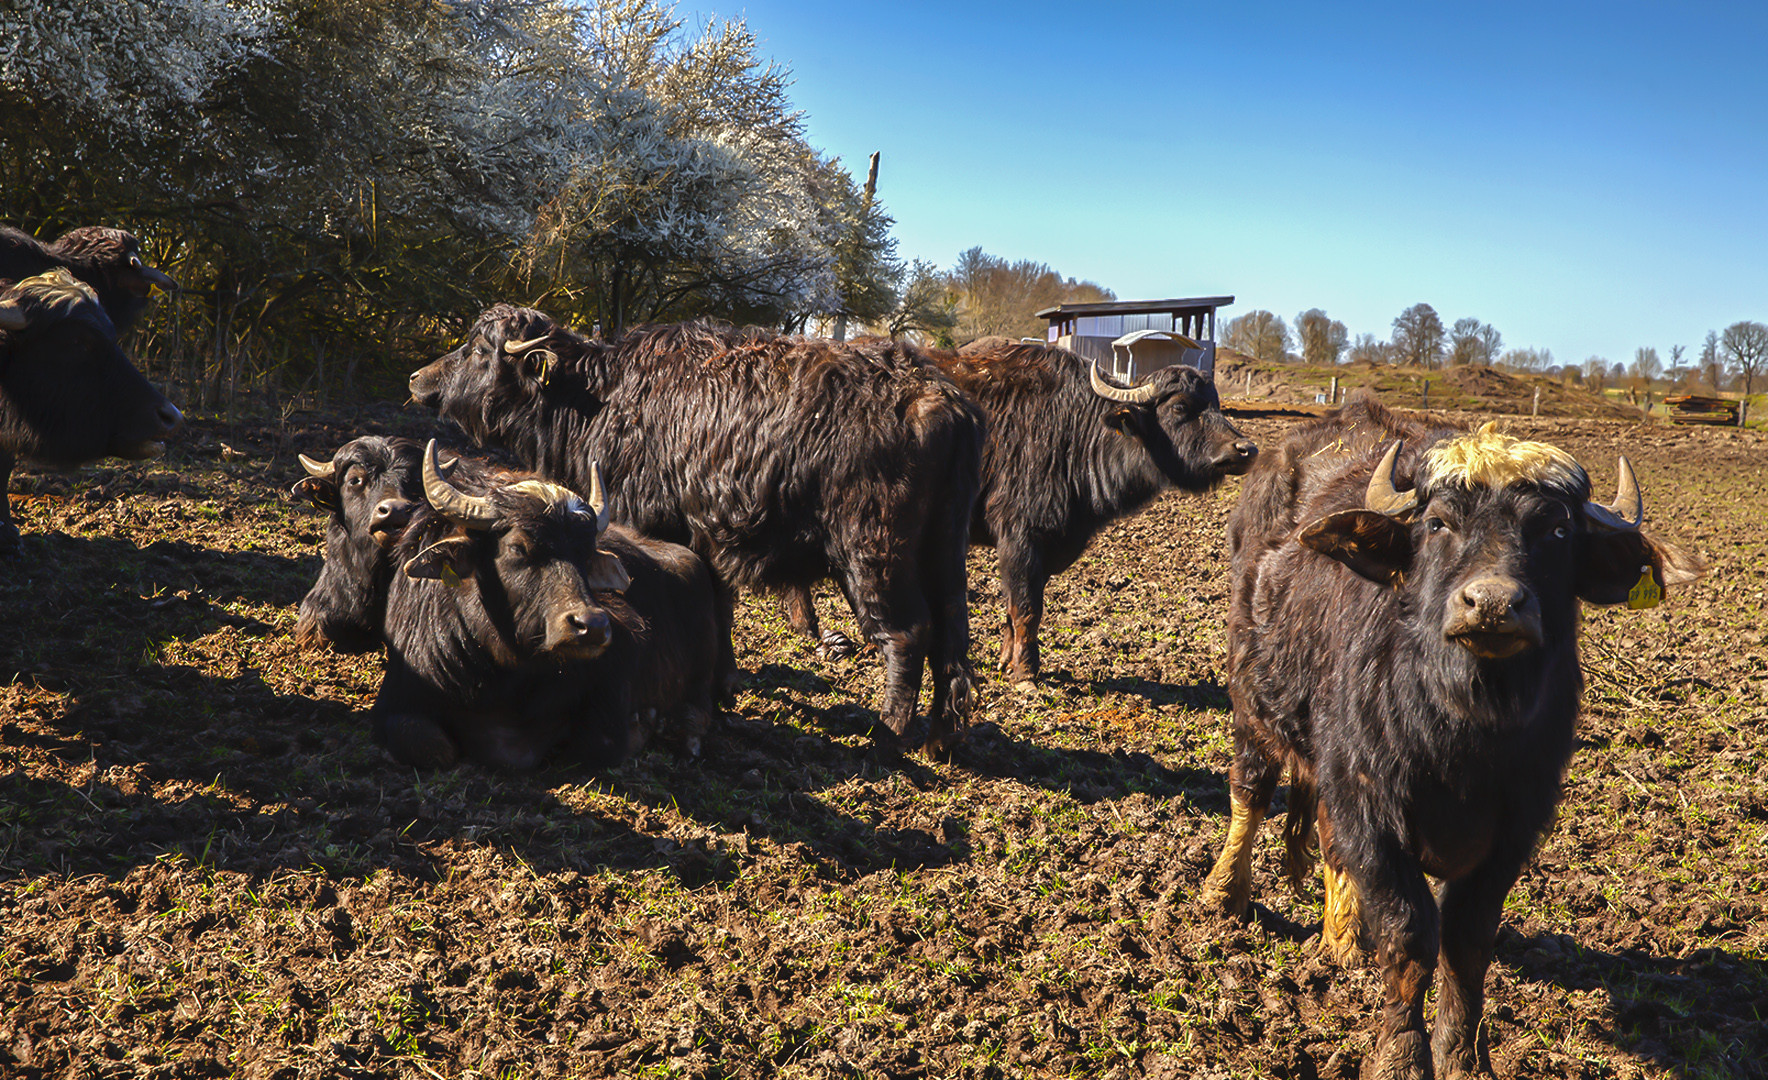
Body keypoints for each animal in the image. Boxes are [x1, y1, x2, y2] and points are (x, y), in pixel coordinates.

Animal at [1202, 395, 1697, 1080]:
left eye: (1557, 531)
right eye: (1437, 524)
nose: (1490, 604)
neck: (1461, 734)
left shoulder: (1513, 829)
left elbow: (1466, 941)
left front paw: (1463, 1055)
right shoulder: (1374, 809)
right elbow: (1410, 933)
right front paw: (1401, 1056)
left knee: (1326, 837)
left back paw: (1343, 940)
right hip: (1254, 699)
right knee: (1249, 792)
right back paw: (1225, 896)